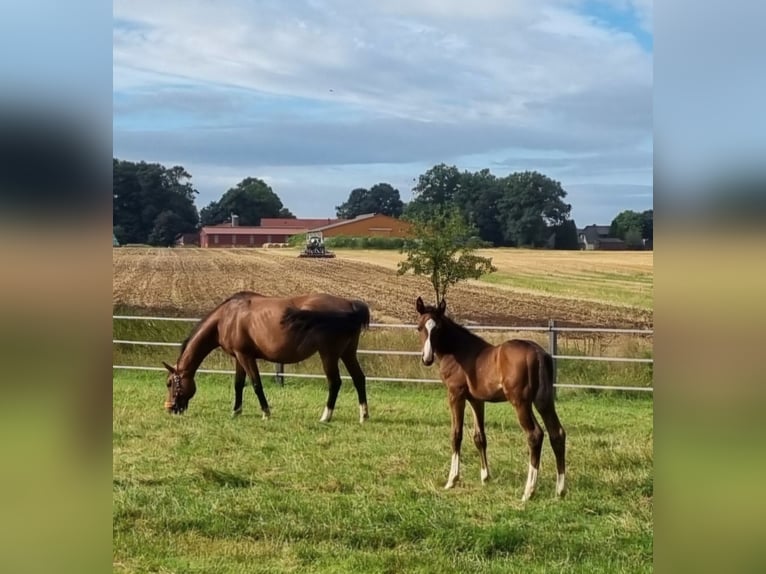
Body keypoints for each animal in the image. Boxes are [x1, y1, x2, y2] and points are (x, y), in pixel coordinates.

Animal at [164, 292, 374, 424]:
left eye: (170, 383)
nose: (170, 408)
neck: (227, 317)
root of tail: (350, 305)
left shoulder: (246, 356)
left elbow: (256, 384)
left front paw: (266, 413)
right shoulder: (238, 358)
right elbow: (238, 384)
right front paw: (236, 411)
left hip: (328, 355)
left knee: (335, 383)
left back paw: (325, 417)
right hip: (347, 353)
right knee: (359, 379)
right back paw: (363, 416)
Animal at [416, 300, 568, 502]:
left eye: (438, 328)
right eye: (420, 328)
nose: (427, 358)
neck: (459, 351)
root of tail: (538, 353)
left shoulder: (456, 395)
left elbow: (456, 435)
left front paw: (452, 480)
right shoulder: (477, 400)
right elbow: (480, 437)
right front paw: (485, 477)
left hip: (520, 402)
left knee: (535, 434)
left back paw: (528, 491)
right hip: (544, 401)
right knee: (557, 433)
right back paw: (560, 490)